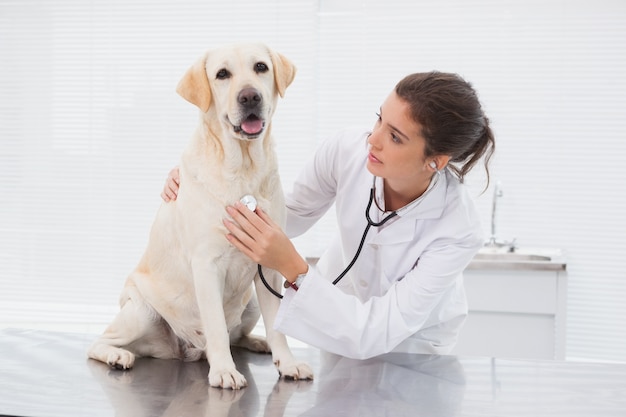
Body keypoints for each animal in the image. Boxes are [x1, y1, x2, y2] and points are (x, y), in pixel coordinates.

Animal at [88, 44, 312, 388]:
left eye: (261, 67)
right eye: (222, 74)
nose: (250, 97)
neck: (243, 168)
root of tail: (184, 350)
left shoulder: (269, 266)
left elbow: (277, 325)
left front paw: (286, 363)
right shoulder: (207, 265)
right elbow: (216, 325)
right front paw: (224, 371)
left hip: (250, 301)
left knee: (238, 335)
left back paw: (258, 342)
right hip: (141, 313)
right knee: (99, 341)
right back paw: (117, 355)